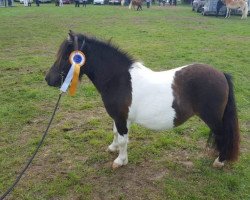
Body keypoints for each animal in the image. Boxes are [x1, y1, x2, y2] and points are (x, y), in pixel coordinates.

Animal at [45, 31, 240, 169]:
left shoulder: (121, 118)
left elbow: (123, 139)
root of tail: (221, 74)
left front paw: (120, 161)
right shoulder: (120, 118)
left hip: (213, 119)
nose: (48, 79)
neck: (118, 79)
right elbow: (115, 133)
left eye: (66, 57)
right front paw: (113, 148)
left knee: (223, 135)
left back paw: (219, 161)